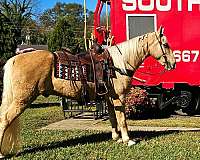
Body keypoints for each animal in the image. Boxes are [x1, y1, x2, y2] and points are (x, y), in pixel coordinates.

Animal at [0, 26, 175, 157]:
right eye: (165, 44)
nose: (173, 64)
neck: (117, 63)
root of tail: (15, 59)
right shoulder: (119, 98)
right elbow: (122, 119)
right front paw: (128, 140)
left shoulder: (109, 98)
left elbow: (113, 118)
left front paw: (116, 138)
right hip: (22, 100)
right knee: (5, 119)